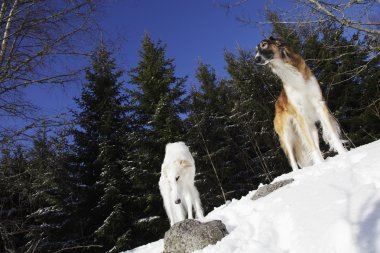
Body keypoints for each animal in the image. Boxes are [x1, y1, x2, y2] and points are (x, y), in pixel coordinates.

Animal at [254, 36, 346, 171]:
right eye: (256, 50)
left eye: (264, 45)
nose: (256, 59)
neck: (286, 67)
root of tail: (276, 105)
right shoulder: (300, 114)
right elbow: (312, 147)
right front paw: (321, 166)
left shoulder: (319, 104)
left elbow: (332, 135)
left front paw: (345, 155)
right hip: (287, 135)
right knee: (293, 162)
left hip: (311, 128)